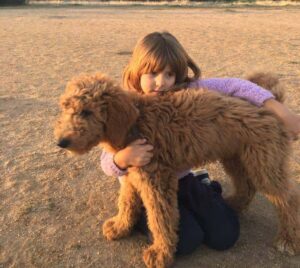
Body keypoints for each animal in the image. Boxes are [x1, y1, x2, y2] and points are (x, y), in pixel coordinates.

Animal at [55, 72, 298, 266]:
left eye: (87, 111)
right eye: (65, 107)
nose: (61, 142)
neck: (135, 121)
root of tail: (273, 101)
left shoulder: (156, 179)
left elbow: (160, 218)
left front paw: (160, 253)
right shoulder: (133, 174)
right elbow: (127, 202)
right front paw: (120, 226)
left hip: (265, 163)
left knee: (288, 198)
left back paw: (288, 239)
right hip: (236, 157)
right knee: (246, 186)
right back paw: (234, 204)